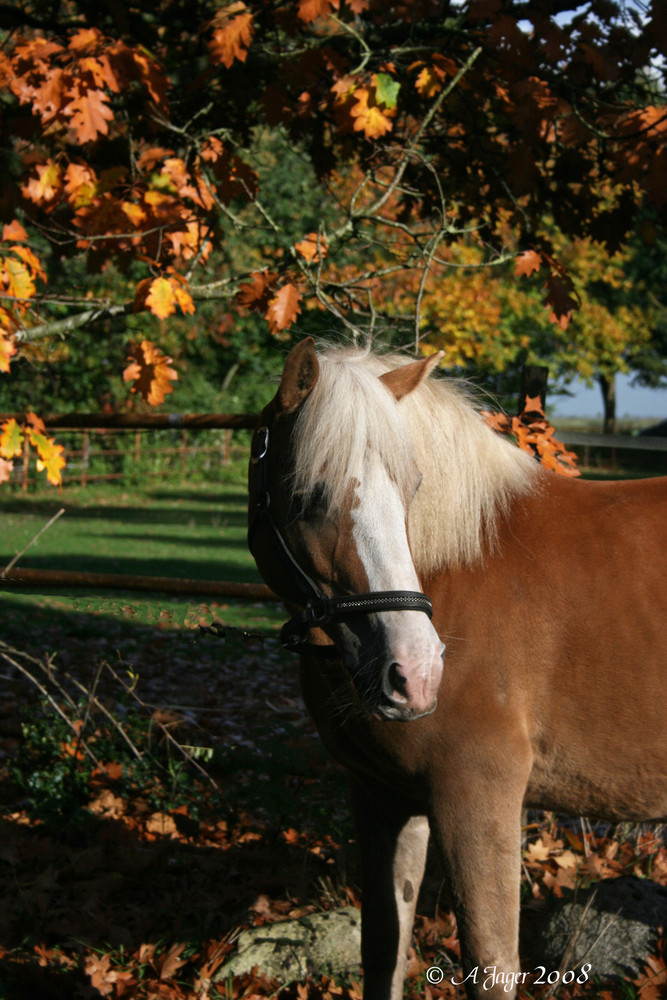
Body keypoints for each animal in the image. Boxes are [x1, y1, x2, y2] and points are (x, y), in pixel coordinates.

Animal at [247, 338, 667, 1000]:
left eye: (414, 486)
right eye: (306, 495)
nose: (414, 675)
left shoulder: (477, 794)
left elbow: (491, 962)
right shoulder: (383, 796)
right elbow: (383, 947)